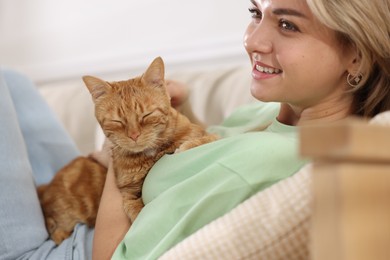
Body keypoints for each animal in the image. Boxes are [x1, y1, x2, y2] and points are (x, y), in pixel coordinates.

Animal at [83, 57, 218, 223]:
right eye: (117, 121)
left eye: (146, 115)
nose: (134, 135)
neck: (151, 154)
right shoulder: (128, 192)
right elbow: (134, 209)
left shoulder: (214, 135)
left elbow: (201, 140)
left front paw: (185, 147)